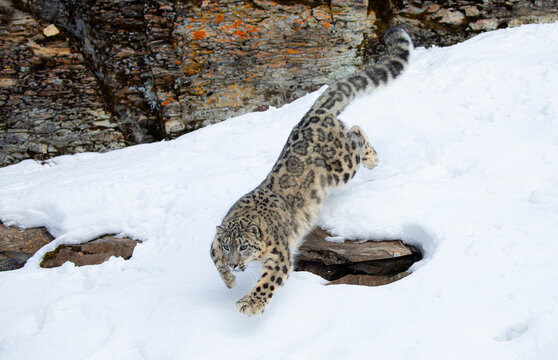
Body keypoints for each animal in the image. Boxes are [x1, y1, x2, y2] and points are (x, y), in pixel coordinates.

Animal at [212, 26, 414, 316]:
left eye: (244, 246)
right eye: (228, 245)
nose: (234, 264)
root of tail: (312, 115)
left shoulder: (279, 255)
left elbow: (269, 280)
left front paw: (250, 303)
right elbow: (212, 253)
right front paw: (227, 278)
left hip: (342, 166)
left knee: (356, 133)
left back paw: (373, 159)